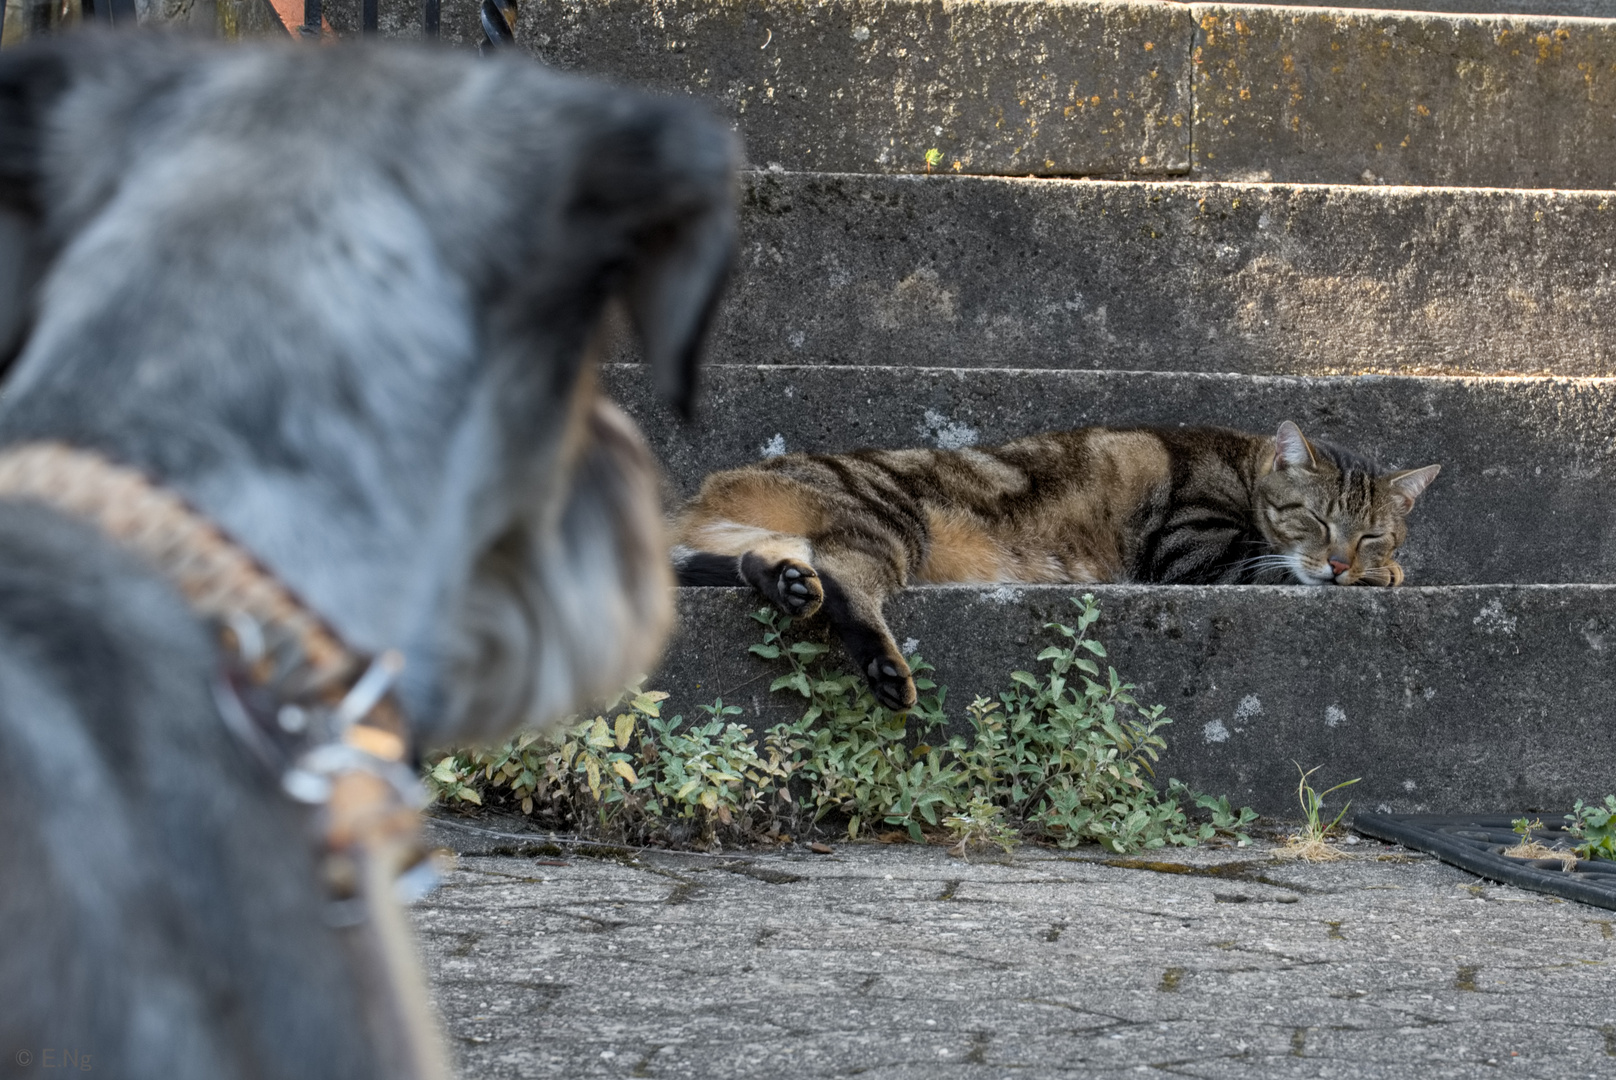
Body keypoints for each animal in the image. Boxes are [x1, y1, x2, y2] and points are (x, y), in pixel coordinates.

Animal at [669, 420, 1441, 708]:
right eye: (1315, 520)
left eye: (1372, 534)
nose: (1341, 564)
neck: (1244, 470)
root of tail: (708, 487)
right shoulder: (1198, 552)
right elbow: (1273, 566)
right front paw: (1387, 577)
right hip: (889, 521)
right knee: (847, 584)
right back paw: (885, 668)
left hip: (767, 538)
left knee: (757, 564)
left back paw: (786, 585)